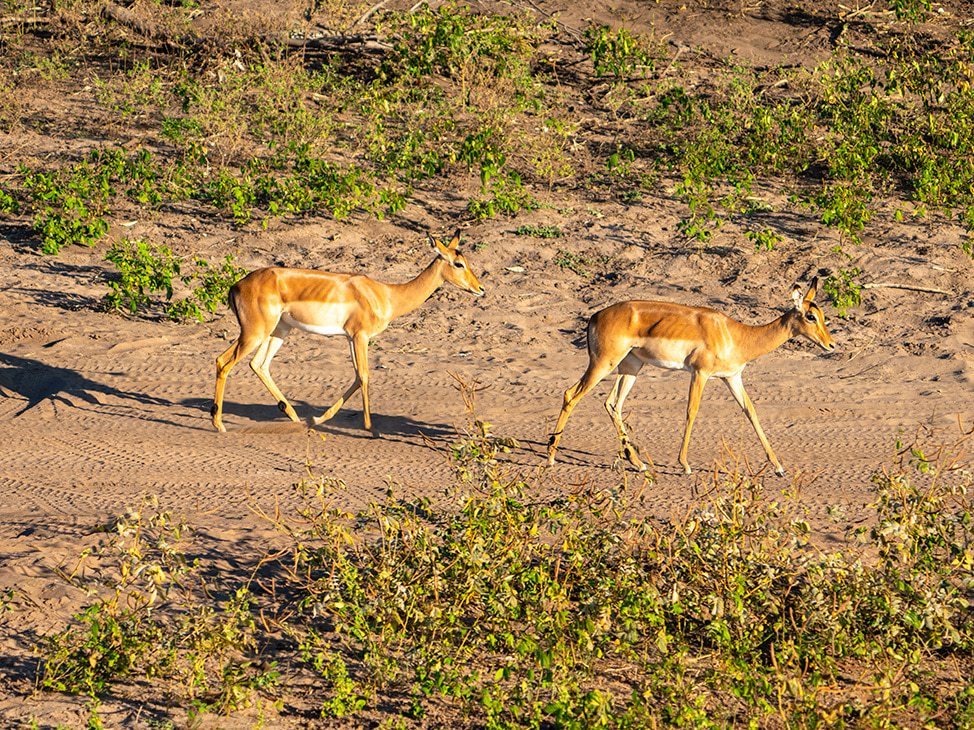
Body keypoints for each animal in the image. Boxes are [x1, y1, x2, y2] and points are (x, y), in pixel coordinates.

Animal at [211, 231, 485, 433]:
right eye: (458, 263)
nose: (480, 288)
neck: (386, 295)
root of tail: (236, 286)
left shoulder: (351, 338)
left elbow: (355, 377)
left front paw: (318, 419)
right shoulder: (360, 336)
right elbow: (364, 375)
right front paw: (370, 427)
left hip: (279, 331)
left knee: (259, 365)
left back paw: (295, 417)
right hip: (255, 333)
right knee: (224, 362)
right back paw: (219, 424)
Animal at [546, 279, 835, 476]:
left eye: (822, 315)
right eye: (810, 316)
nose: (831, 345)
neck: (737, 335)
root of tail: (595, 316)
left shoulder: (732, 377)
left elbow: (751, 413)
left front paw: (778, 467)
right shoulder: (700, 373)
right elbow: (691, 411)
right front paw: (684, 464)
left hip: (630, 366)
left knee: (612, 404)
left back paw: (637, 463)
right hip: (603, 364)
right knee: (571, 394)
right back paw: (550, 457)